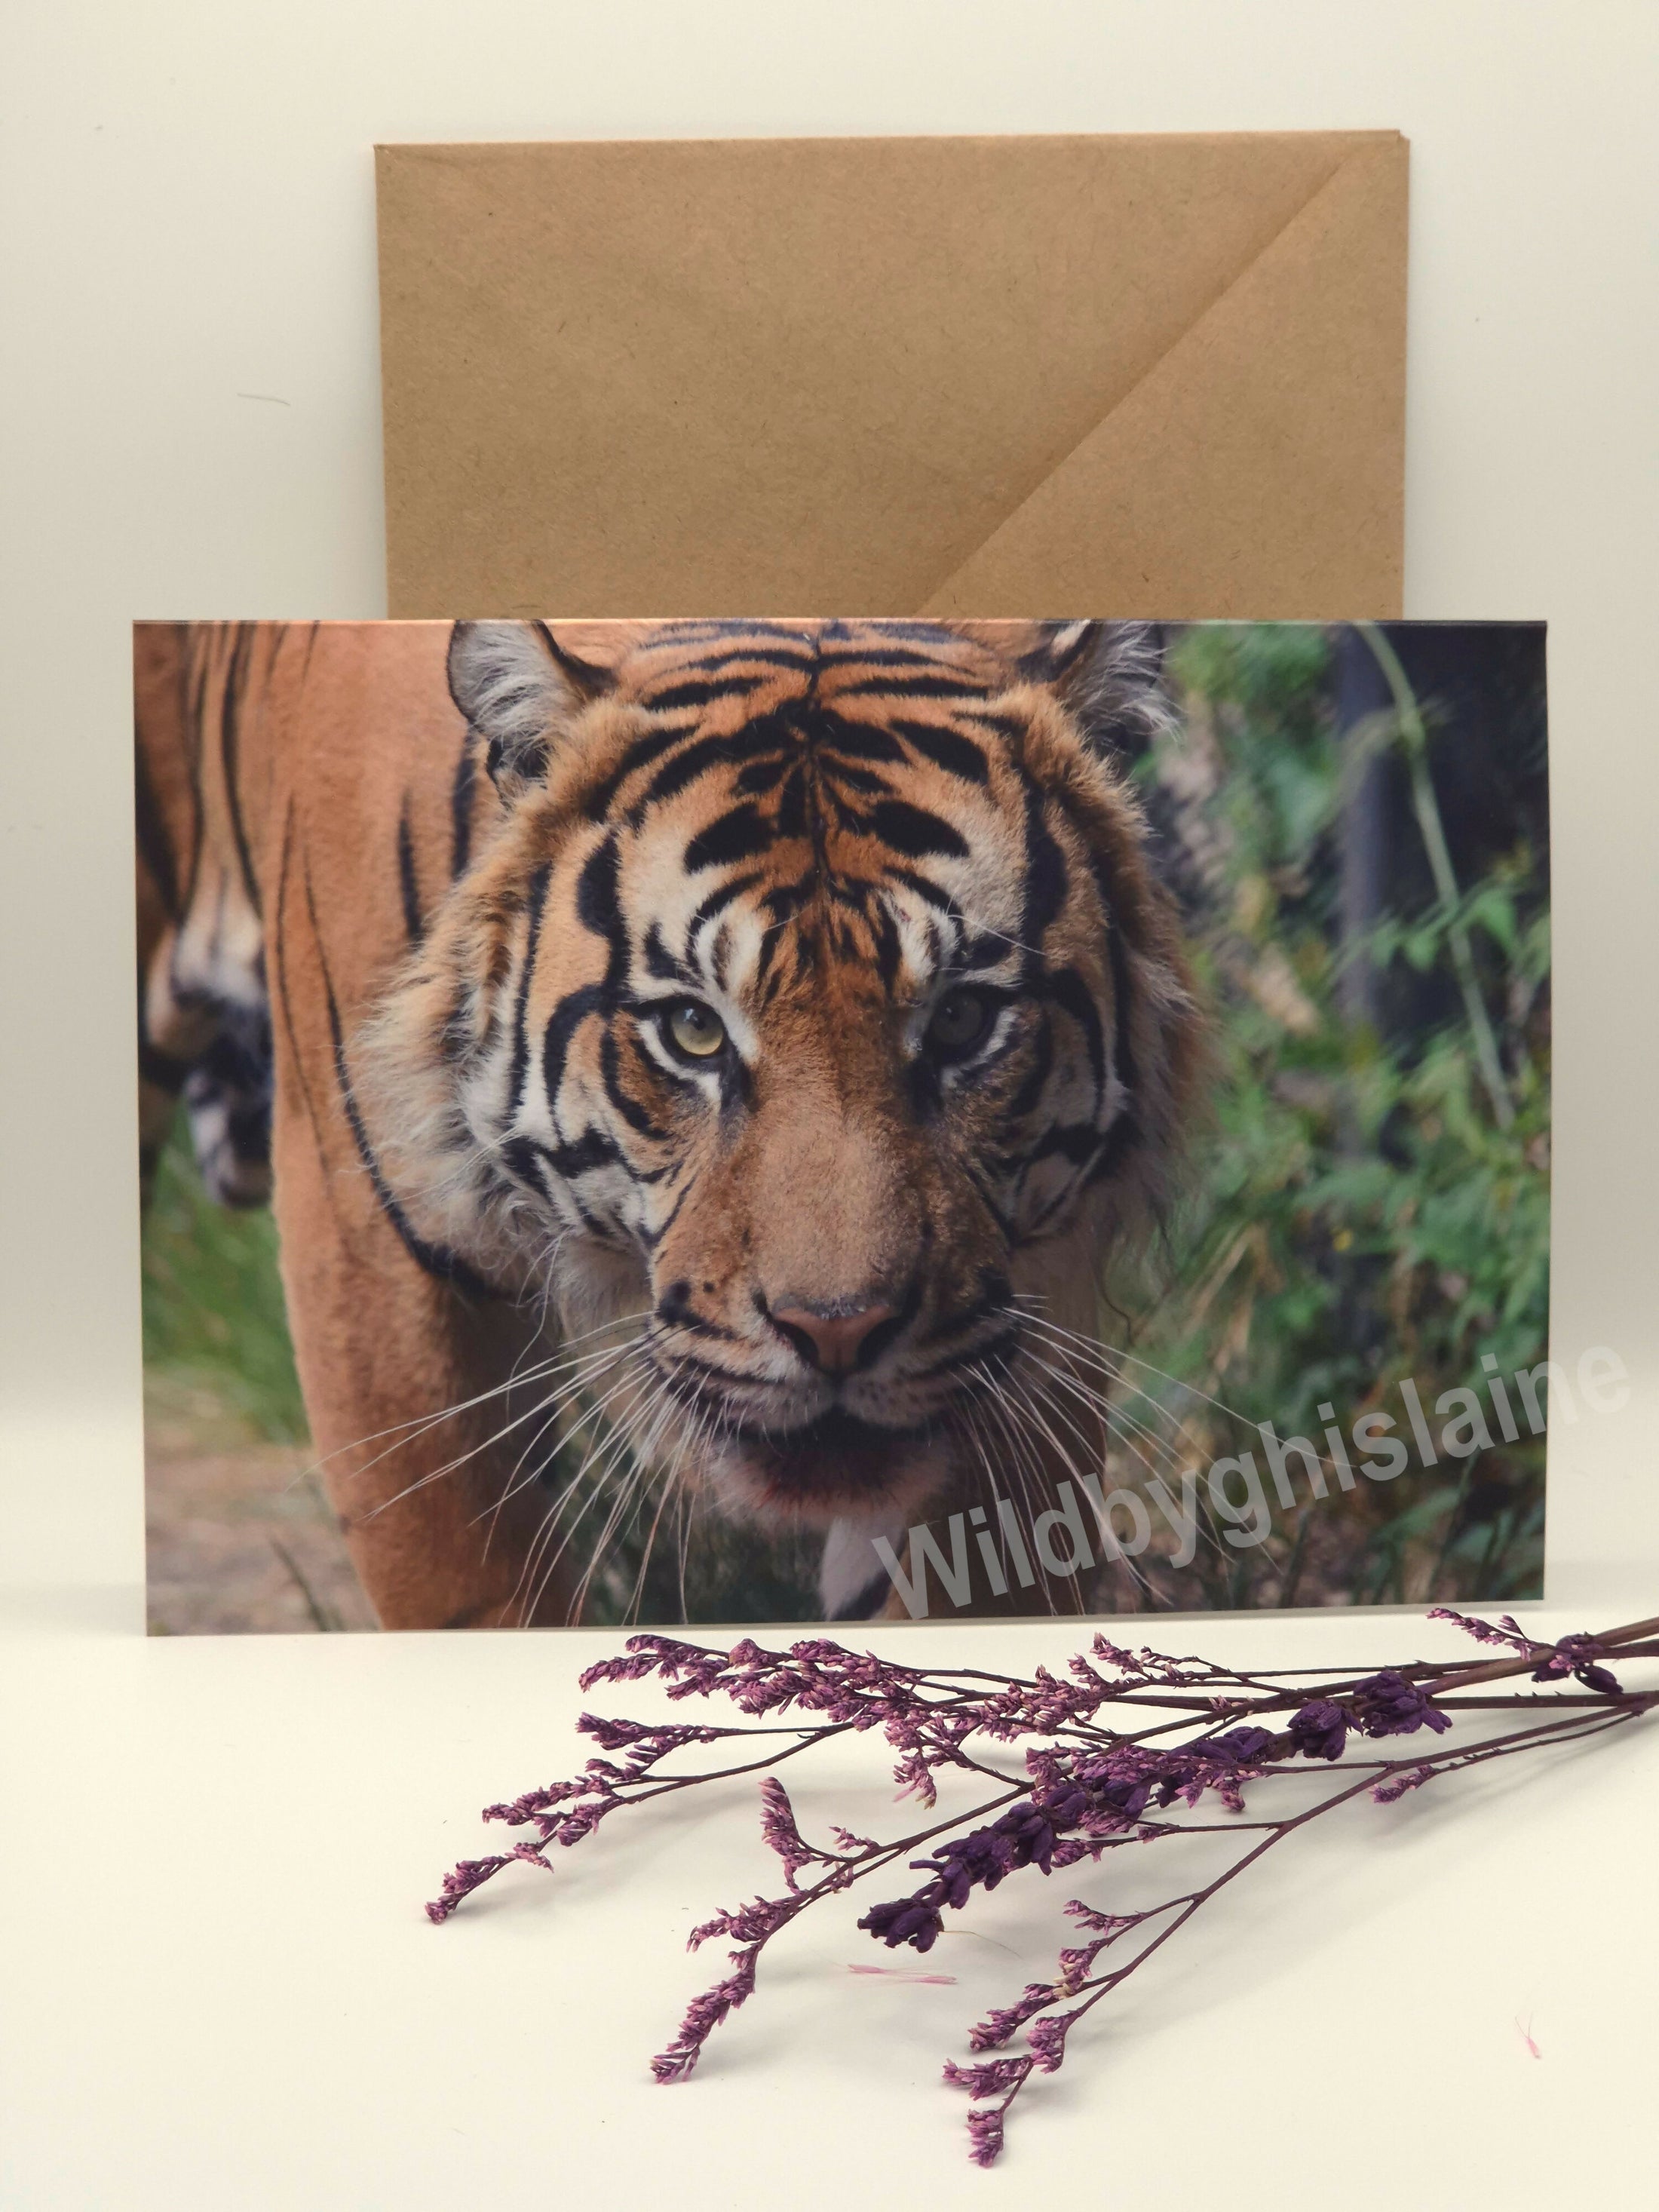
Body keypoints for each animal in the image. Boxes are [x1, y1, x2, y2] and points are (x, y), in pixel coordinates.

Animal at [135, 617, 1203, 1628]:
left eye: (960, 1020)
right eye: (693, 1028)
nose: (839, 1332)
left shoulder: (1020, 1312)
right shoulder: (377, 1258)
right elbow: (474, 1592)